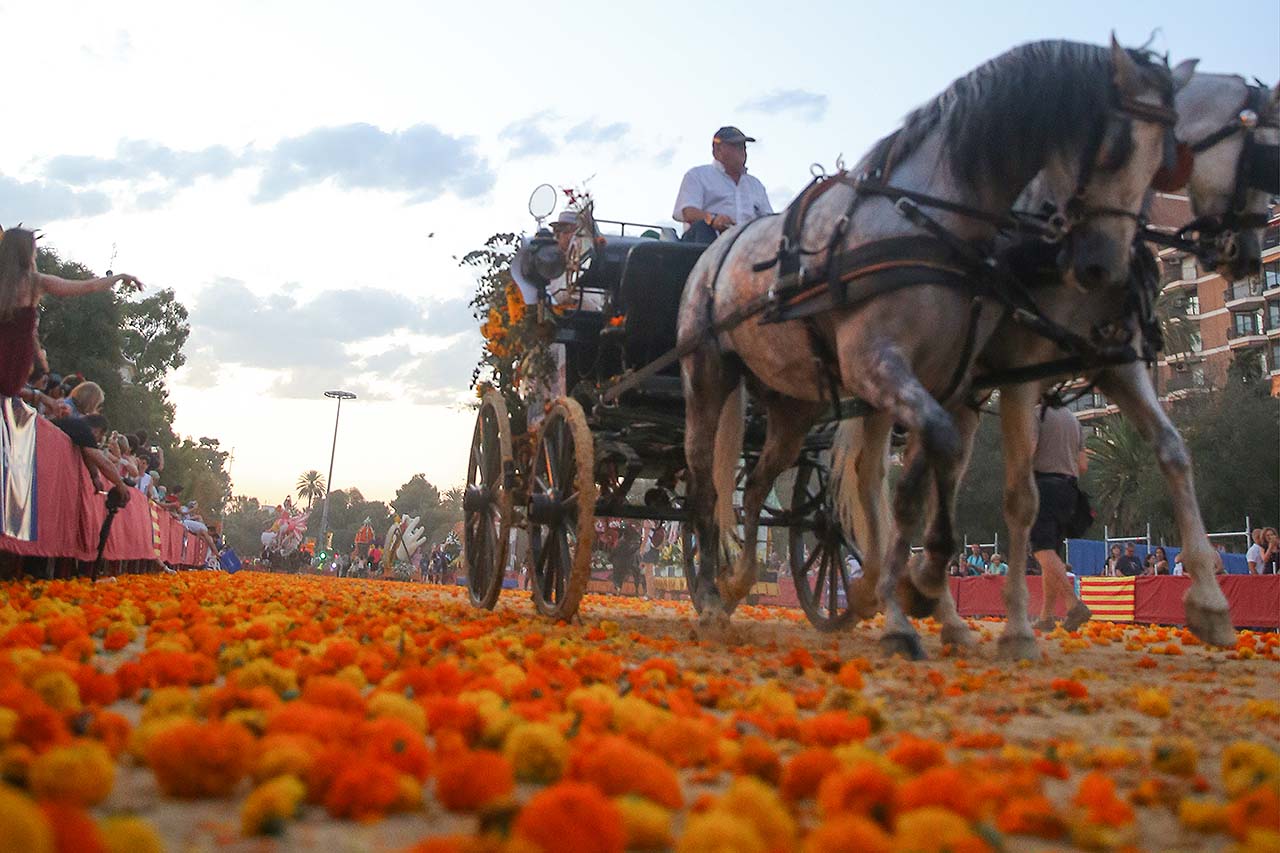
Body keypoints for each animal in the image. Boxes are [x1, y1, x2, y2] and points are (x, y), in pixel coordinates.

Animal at [680, 39, 1177, 653]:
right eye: (1117, 147)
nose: (1109, 264)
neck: (928, 225)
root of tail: (716, 248)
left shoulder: (945, 382)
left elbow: (923, 478)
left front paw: (913, 589)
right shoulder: (880, 366)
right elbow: (931, 460)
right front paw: (916, 588)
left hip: (794, 406)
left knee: (757, 488)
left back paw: (743, 580)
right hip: (706, 377)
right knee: (703, 483)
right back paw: (709, 591)